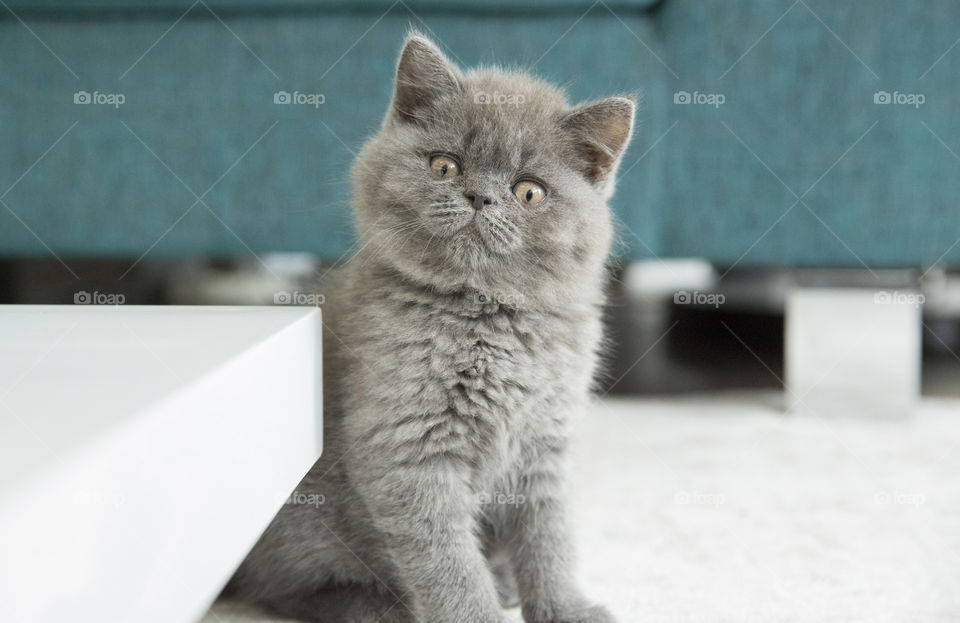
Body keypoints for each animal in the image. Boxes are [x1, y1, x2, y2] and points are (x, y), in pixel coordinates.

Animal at [228, 35, 632, 623]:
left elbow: (549, 537)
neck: (486, 316)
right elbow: (447, 561)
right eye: (445, 166)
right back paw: (384, 606)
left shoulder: (546, 443)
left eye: (529, 192)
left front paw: (564, 607)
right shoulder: (409, 447)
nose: (479, 197)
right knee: (285, 589)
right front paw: (479, 612)